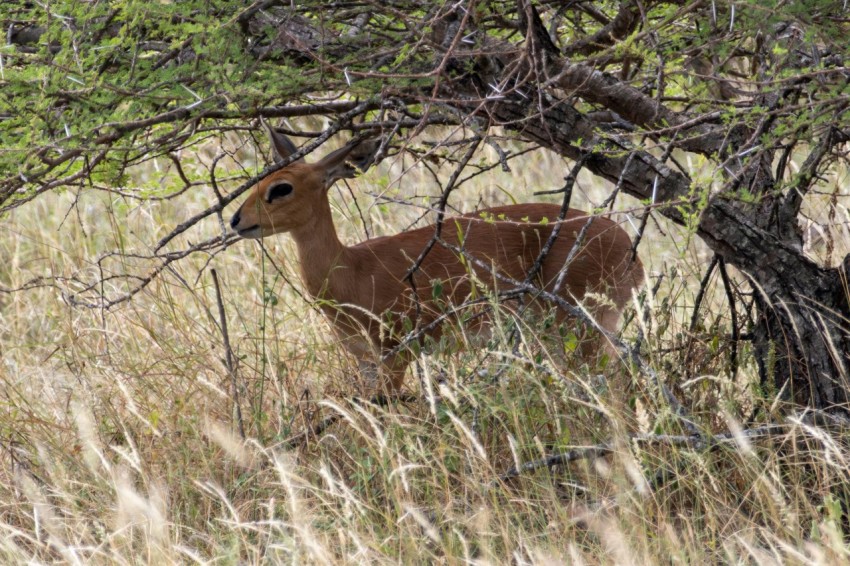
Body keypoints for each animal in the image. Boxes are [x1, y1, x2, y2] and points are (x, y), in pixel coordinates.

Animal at [229, 122, 640, 394]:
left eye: (281, 188)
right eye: (258, 180)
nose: (236, 220)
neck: (352, 269)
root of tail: (628, 248)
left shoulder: (395, 354)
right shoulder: (364, 361)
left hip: (582, 330)